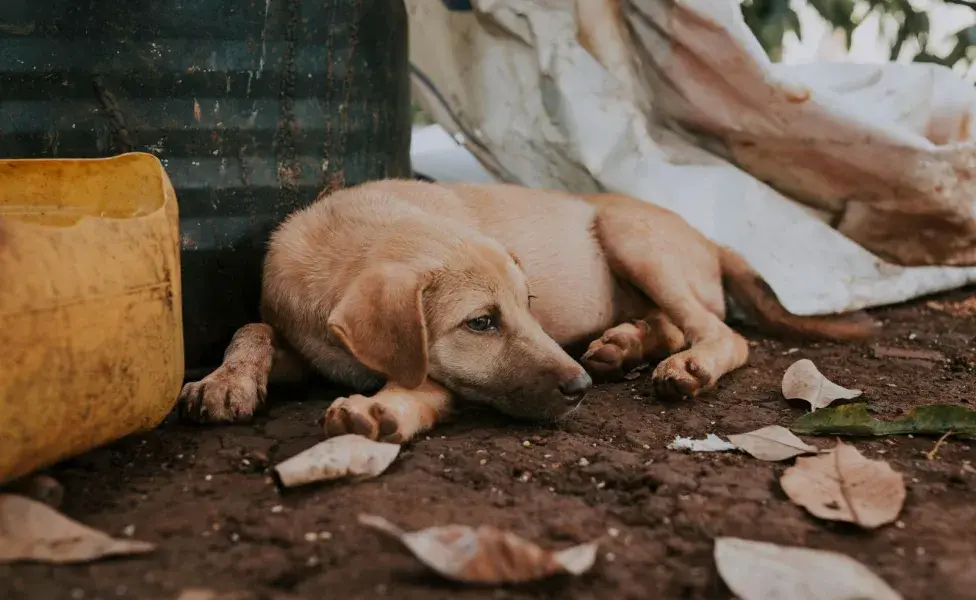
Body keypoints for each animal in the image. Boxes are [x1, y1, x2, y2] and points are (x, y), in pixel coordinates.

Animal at [177, 179, 876, 440]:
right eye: (482, 323)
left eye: (529, 305)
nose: (580, 389)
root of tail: (710, 239)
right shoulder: (307, 340)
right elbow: (252, 325)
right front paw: (226, 380)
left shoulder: (434, 374)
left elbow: (421, 385)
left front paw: (382, 409)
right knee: (676, 323)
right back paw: (624, 344)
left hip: (629, 233)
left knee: (721, 333)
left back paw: (683, 366)